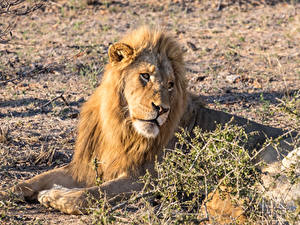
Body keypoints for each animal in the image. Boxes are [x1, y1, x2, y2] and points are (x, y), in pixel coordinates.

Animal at [0, 25, 296, 220]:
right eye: (144, 76)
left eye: (170, 85)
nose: (161, 109)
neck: (121, 127)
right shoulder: (89, 165)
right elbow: (37, 178)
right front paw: (9, 192)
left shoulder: (150, 178)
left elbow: (98, 191)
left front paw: (57, 197)